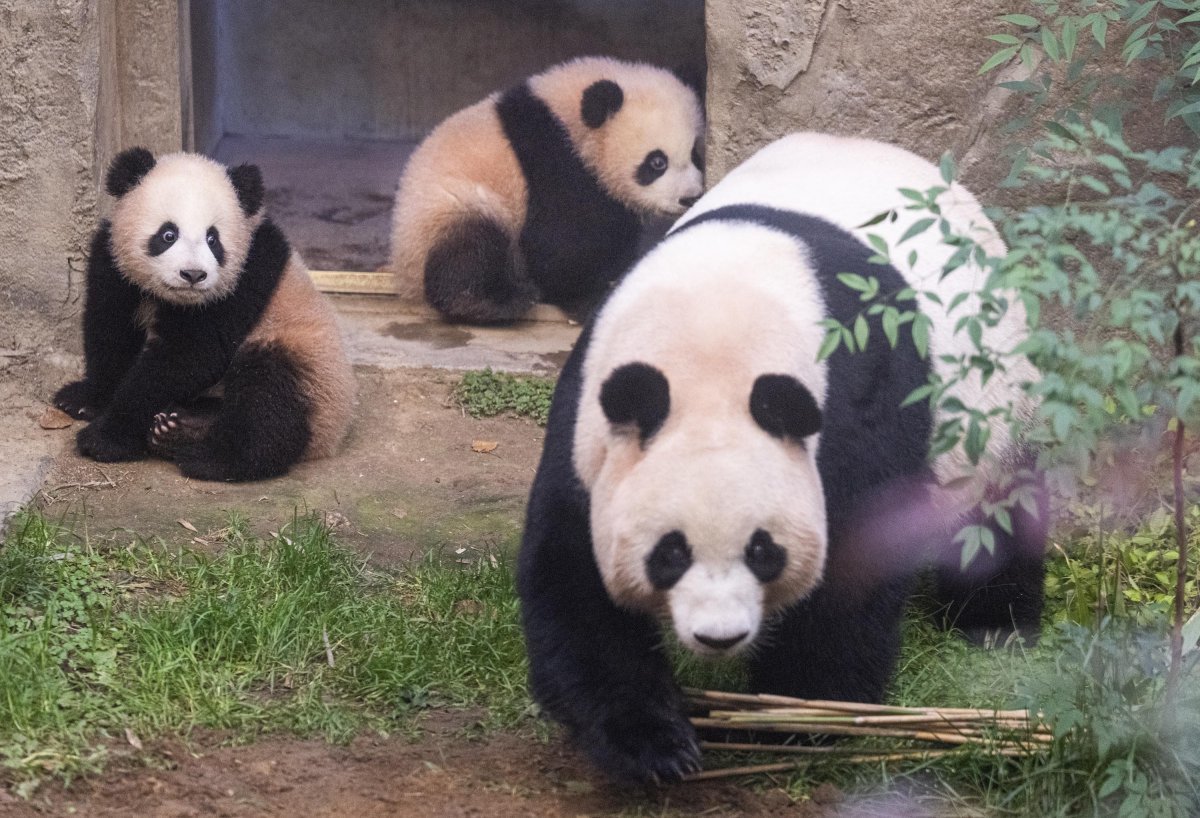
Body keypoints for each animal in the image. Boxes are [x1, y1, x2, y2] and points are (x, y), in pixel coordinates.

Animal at [55, 147, 355, 482]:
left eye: (213, 239)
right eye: (168, 234)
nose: (193, 274)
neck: (173, 299)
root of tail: (331, 436)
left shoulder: (246, 278)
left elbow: (187, 356)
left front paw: (104, 438)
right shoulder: (114, 266)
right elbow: (111, 332)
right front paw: (84, 399)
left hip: (307, 360)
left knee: (268, 395)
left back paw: (213, 457)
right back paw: (180, 429)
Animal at [388, 55, 700, 323]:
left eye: (696, 153)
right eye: (657, 162)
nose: (690, 198)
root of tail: (403, 272)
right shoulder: (550, 160)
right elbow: (561, 241)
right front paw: (591, 296)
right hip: (448, 209)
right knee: (470, 248)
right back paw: (495, 300)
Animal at [520, 133, 1046, 782]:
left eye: (762, 550)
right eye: (669, 553)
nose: (719, 637)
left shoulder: (854, 403)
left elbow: (853, 564)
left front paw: (799, 714)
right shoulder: (591, 423)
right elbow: (572, 573)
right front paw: (653, 744)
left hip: (993, 398)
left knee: (996, 509)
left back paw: (995, 624)